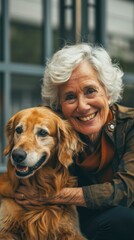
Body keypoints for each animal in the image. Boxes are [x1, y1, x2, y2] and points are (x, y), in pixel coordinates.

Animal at [0, 107, 87, 240]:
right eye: (18, 130)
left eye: (42, 133)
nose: (17, 155)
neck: (38, 184)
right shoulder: (5, 229)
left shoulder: (71, 232)